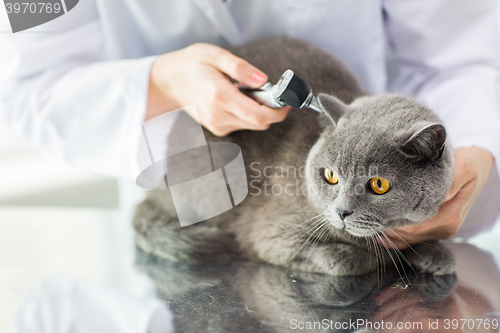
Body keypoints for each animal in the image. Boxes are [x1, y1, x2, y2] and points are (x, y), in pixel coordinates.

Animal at [134, 37, 458, 274]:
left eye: (379, 185)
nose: (341, 212)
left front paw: (435, 253)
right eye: (330, 175)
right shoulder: (270, 232)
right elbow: (344, 259)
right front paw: (382, 256)